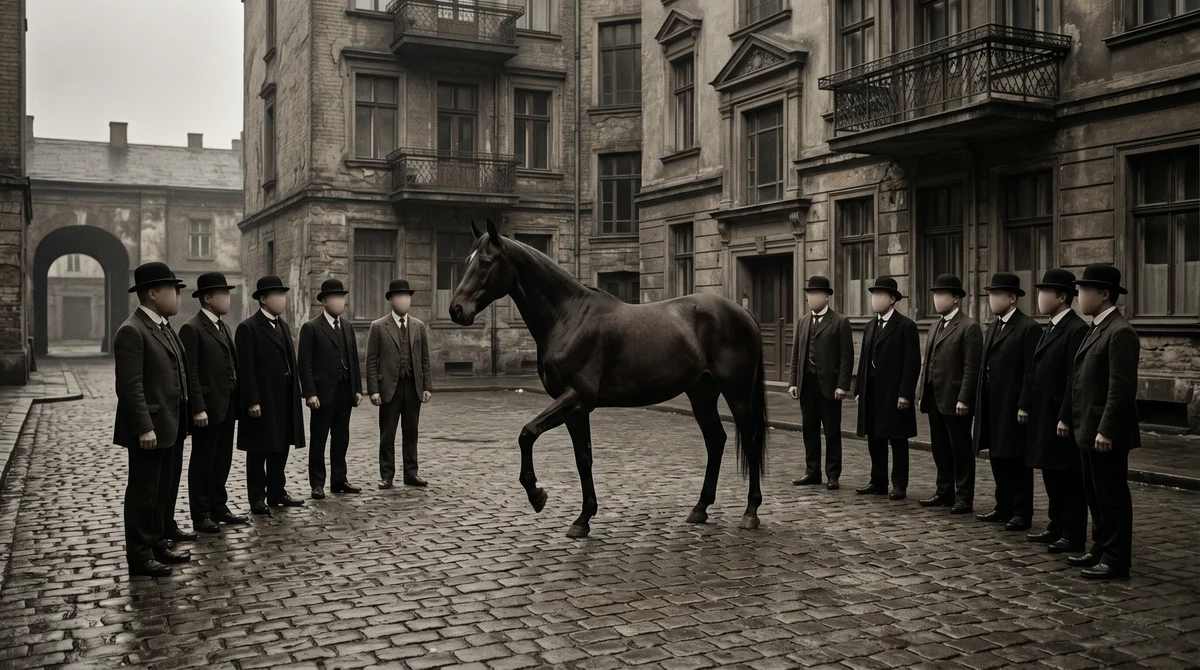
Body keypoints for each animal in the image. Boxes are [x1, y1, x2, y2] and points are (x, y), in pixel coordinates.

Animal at [448, 219, 768, 539]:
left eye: (486, 261)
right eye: (466, 260)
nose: (456, 309)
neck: (569, 317)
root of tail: (742, 312)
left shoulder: (576, 397)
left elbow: (527, 433)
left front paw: (537, 494)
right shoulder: (576, 409)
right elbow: (583, 459)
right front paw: (583, 518)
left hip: (737, 392)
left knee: (751, 440)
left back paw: (751, 512)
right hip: (702, 393)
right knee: (715, 440)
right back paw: (700, 508)